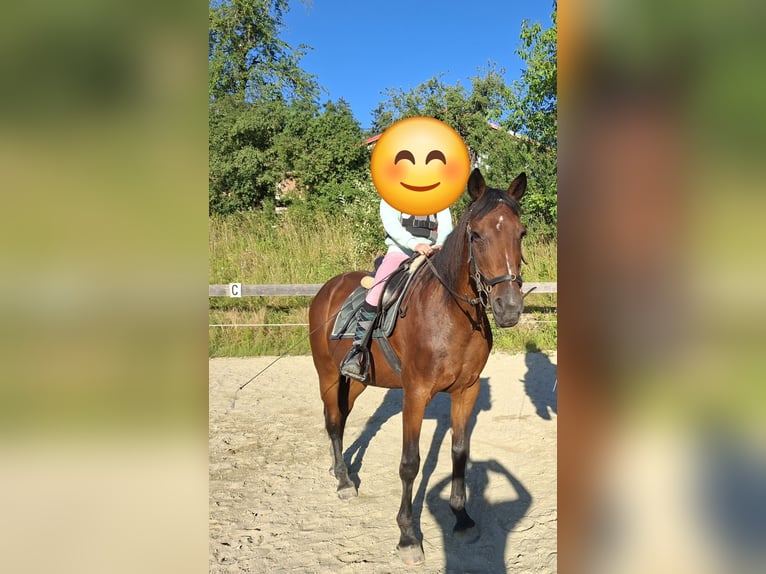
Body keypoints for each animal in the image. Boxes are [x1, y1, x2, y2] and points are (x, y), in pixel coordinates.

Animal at [308, 168, 527, 565]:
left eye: (521, 233)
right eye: (476, 235)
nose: (509, 308)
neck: (451, 314)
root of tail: (326, 290)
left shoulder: (466, 391)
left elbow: (459, 452)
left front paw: (462, 517)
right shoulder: (416, 393)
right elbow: (410, 463)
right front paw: (408, 537)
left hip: (357, 381)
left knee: (342, 419)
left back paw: (339, 468)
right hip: (328, 376)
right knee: (332, 421)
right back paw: (345, 482)